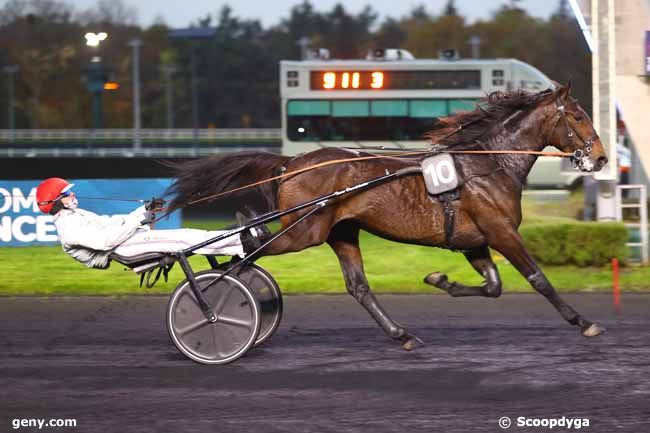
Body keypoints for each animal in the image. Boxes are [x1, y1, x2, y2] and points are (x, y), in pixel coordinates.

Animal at [168, 83, 608, 348]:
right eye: (579, 116)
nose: (601, 158)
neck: (489, 164)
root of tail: (291, 163)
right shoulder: (501, 231)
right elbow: (538, 279)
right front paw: (584, 321)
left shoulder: (474, 240)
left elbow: (493, 286)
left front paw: (440, 280)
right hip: (305, 231)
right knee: (249, 252)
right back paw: (214, 301)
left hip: (341, 232)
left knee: (358, 287)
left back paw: (401, 334)